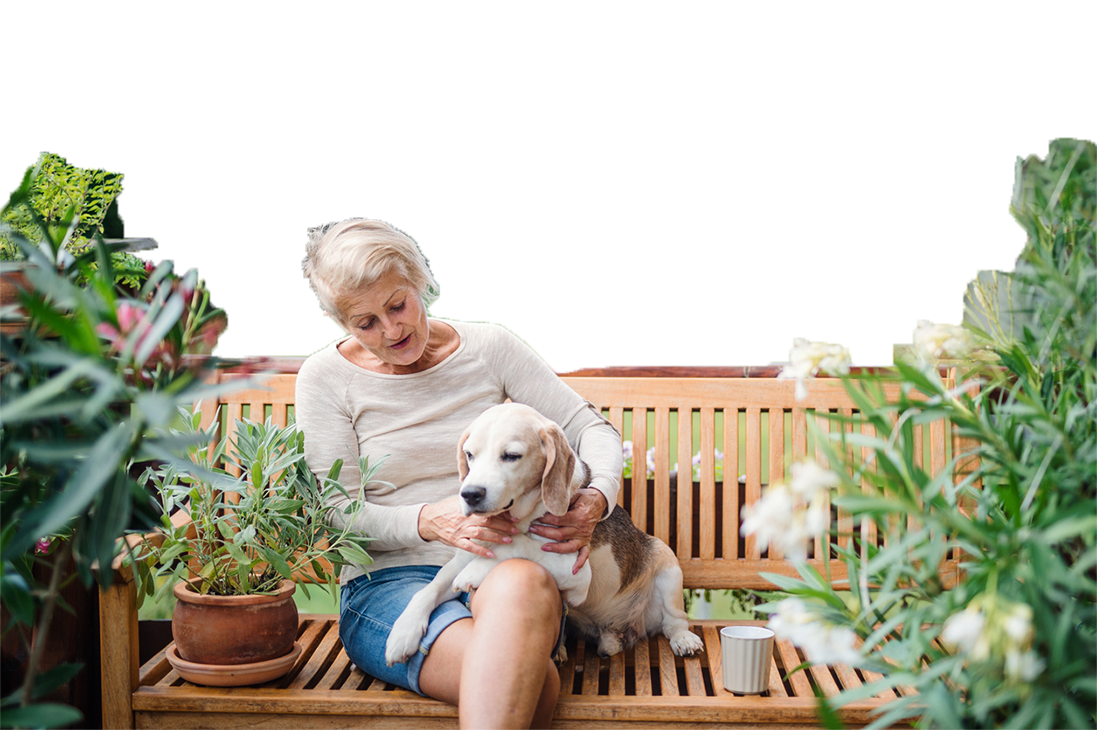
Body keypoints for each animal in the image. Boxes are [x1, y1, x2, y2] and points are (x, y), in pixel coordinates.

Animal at [381, 401, 697, 667]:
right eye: (470, 455)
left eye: (511, 456)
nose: (469, 494)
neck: (521, 515)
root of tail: (625, 629)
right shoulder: (462, 556)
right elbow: (429, 589)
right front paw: (403, 632)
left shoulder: (575, 570)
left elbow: (518, 547)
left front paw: (478, 570)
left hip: (667, 563)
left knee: (674, 620)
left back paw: (684, 639)